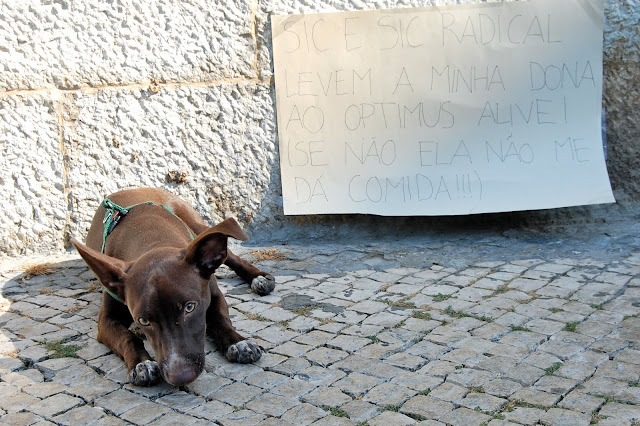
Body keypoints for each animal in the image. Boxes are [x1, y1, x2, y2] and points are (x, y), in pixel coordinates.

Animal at [71, 188, 275, 386]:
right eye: (143, 320)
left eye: (190, 307)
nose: (181, 376)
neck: (152, 239)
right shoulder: (106, 320)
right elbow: (127, 337)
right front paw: (142, 364)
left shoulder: (214, 294)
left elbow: (220, 319)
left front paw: (239, 343)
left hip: (199, 226)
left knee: (232, 256)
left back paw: (258, 278)